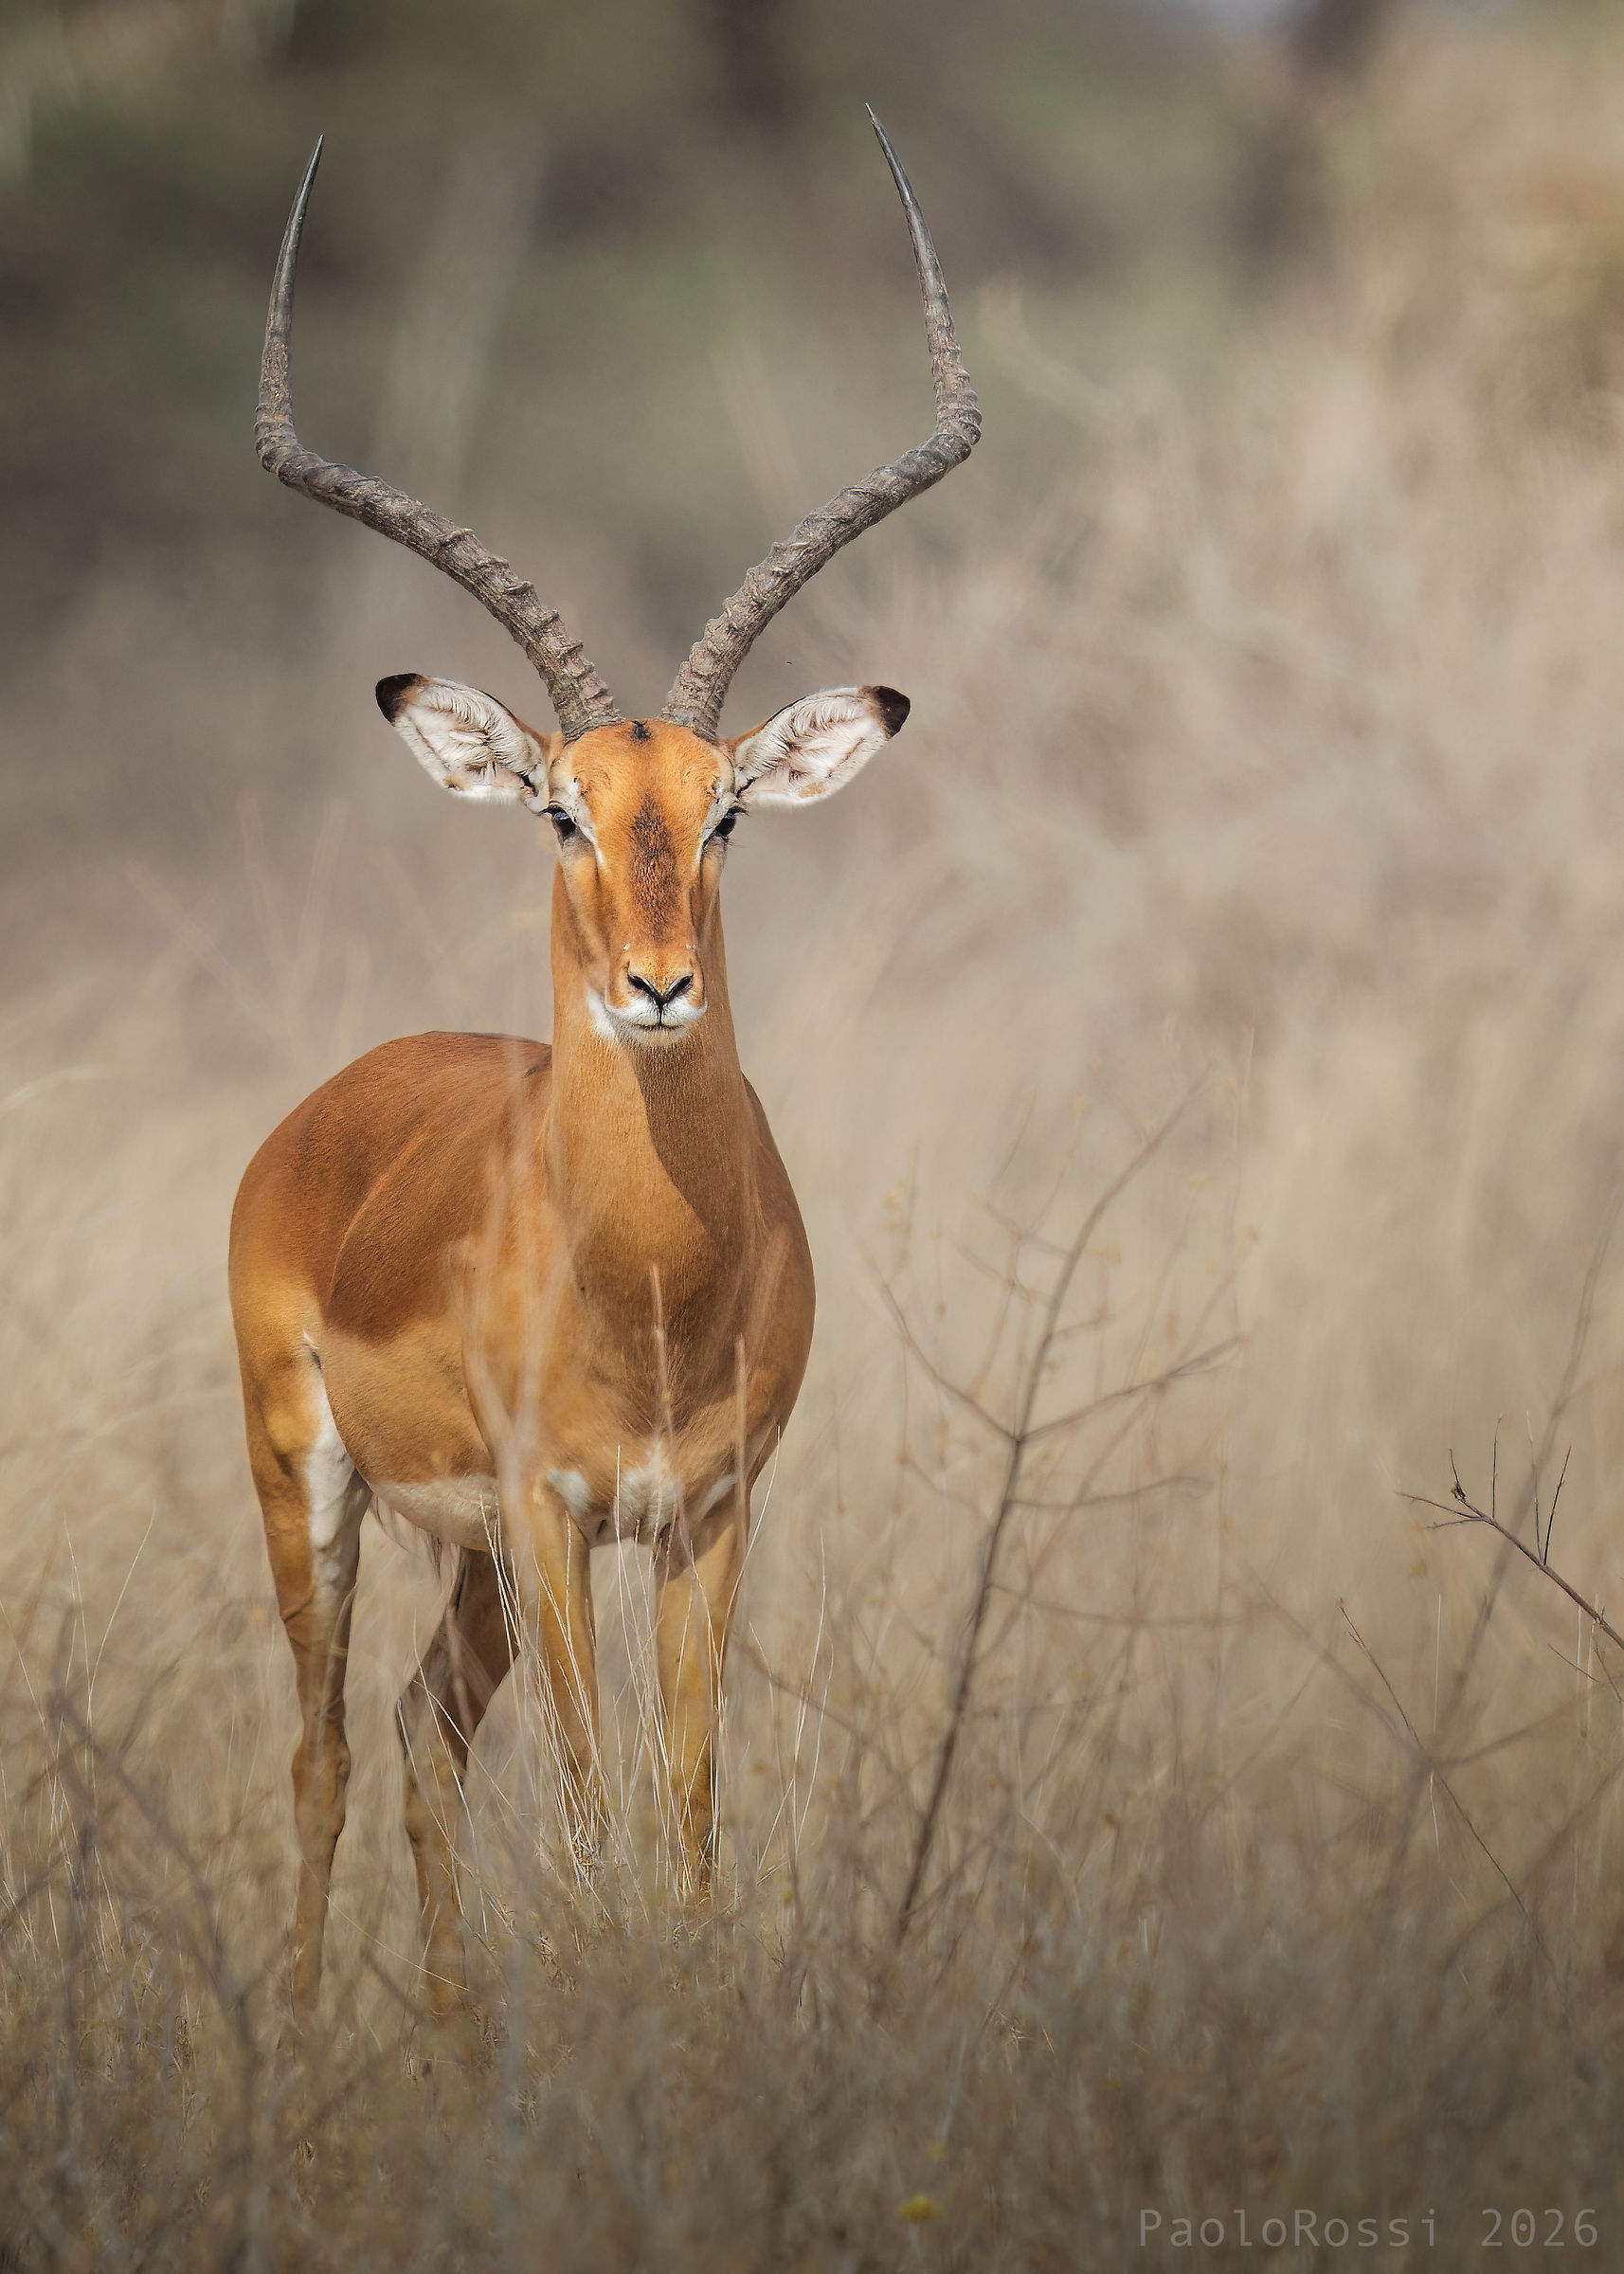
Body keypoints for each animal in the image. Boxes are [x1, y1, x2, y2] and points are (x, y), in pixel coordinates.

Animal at [229, 117, 979, 2024]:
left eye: (722, 811)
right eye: (562, 807)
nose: (656, 986)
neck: (640, 1275)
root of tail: (324, 1112)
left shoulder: (705, 1519)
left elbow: (686, 1825)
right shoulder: (557, 1514)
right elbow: (581, 1825)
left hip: (480, 1569)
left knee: (417, 1740)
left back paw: (448, 2047)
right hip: (318, 1487)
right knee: (321, 1753)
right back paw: (290, 2055)